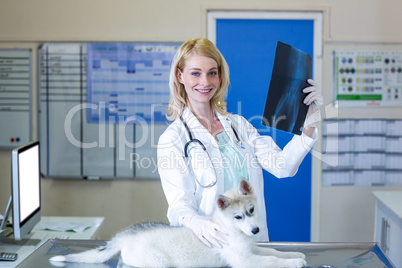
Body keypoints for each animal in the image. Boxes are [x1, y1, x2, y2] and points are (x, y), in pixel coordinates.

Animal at [51, 178, 306, 268]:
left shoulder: (252, 249)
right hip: (157, 263)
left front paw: (294, 255)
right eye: (238, 217)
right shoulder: (243, 260)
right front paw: (293, 263)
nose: (256, 229)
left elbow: (273, 251)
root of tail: (126, 235)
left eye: (251, 210)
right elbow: (271, 260)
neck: (231, 229)